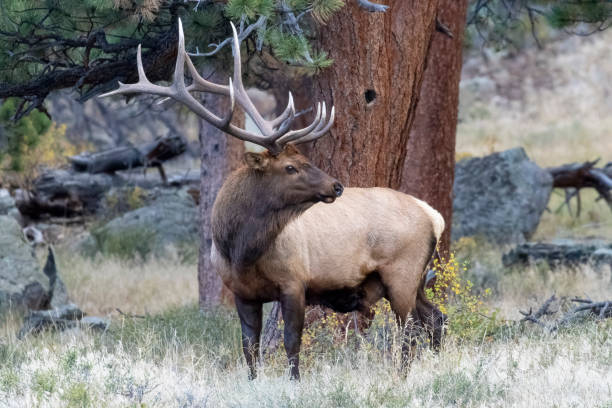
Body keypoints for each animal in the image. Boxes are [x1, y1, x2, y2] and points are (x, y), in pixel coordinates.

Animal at [104, 19, 444, 380]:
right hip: (415, 280)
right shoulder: (242, 292)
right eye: (290, 166)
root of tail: (433, 216)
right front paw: (253, 381)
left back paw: (402, 377)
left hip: (402, 273)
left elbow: (291, 342)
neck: (240, 250)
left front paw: (294, 382)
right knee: (435, 318)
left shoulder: (294, 282)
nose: (337, 186)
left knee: (410, 331)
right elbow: (249, 347)